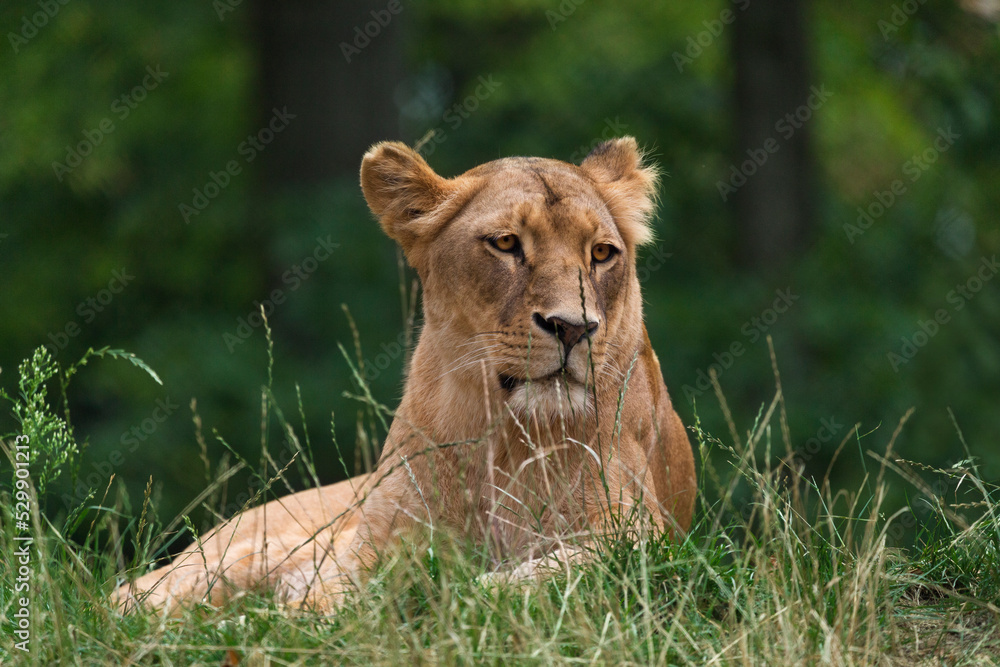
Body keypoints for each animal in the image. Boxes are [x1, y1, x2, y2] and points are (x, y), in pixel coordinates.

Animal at [115, 136, 696, 613]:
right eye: (507, 244)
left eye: (601, 253)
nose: (573, 328)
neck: (505, 438)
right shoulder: (373, 543)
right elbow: (335, 593)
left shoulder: (642, 536)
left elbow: (549, 572)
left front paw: (459, 594)